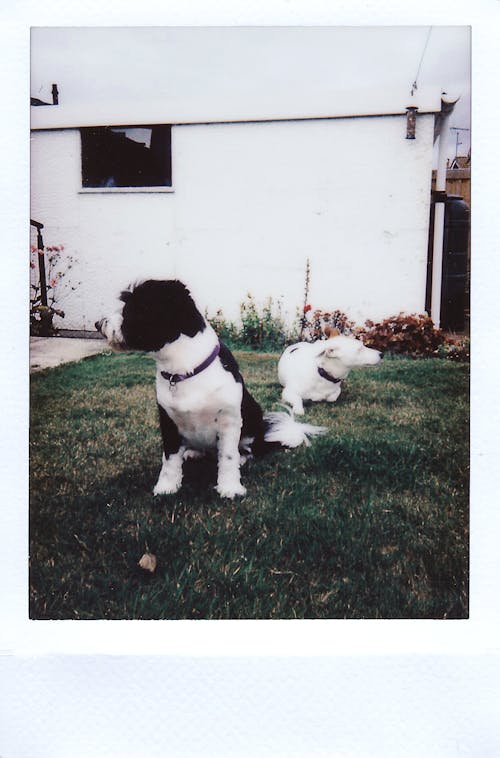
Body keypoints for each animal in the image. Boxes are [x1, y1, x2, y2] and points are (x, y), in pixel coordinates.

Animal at [96, 280, 326, 498]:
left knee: (247, 450)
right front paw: (166, 487)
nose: (98, 324)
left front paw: (230, 487)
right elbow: (169, 460)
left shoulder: (229, 421)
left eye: (132, 308)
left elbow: (228, 457)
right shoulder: (168, 421)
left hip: (252, 420)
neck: (185, 371)